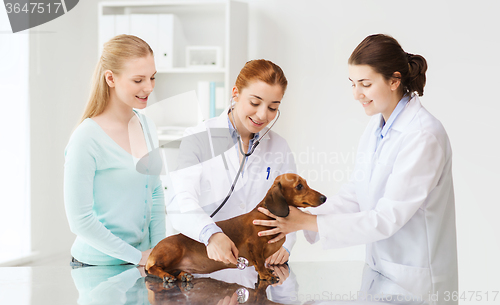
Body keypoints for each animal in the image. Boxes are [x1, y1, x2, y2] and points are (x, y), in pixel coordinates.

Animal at [144, 173, 328, 282]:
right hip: (172, 251)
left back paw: (183, 275)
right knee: (152, 269)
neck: (266, 215)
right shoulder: (254, 245)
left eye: (306, 183)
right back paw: (166, 276)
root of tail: (153, 252)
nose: (324, 198)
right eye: (299, 186)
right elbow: (260, 263)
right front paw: (265, 275)